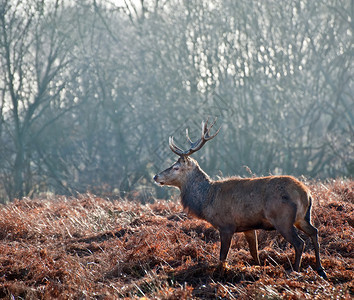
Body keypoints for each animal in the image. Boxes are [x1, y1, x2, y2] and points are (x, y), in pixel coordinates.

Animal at [153, 118, 328, 278]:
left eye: (176, 167)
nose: (156, 176)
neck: (206, 200)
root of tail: (306, 193)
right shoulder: (248, 226)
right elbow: (254, 253)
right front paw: (258, 271)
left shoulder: (226, 225)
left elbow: (222, 257)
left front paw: (220, 275)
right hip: (302, 217)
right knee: (314, 232)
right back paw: (321, 269)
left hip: (283, 219)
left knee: (300, 243)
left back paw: (294, 271)